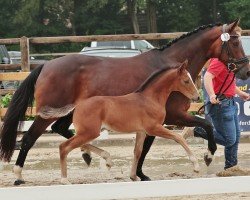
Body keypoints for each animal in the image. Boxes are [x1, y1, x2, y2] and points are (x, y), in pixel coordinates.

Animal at [59, 61, 200, 184]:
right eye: (186, 81)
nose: (197, 97)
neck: (150, 99)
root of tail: (77, 106)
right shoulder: (153, 128)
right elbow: (179, 138)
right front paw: (196, 166)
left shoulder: (141, 131)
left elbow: (137, 151)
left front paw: (133, 177)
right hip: (89, 132)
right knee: (64, 147)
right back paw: (65, 179)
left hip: (88, 132)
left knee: (77, 144)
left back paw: (107, 159)